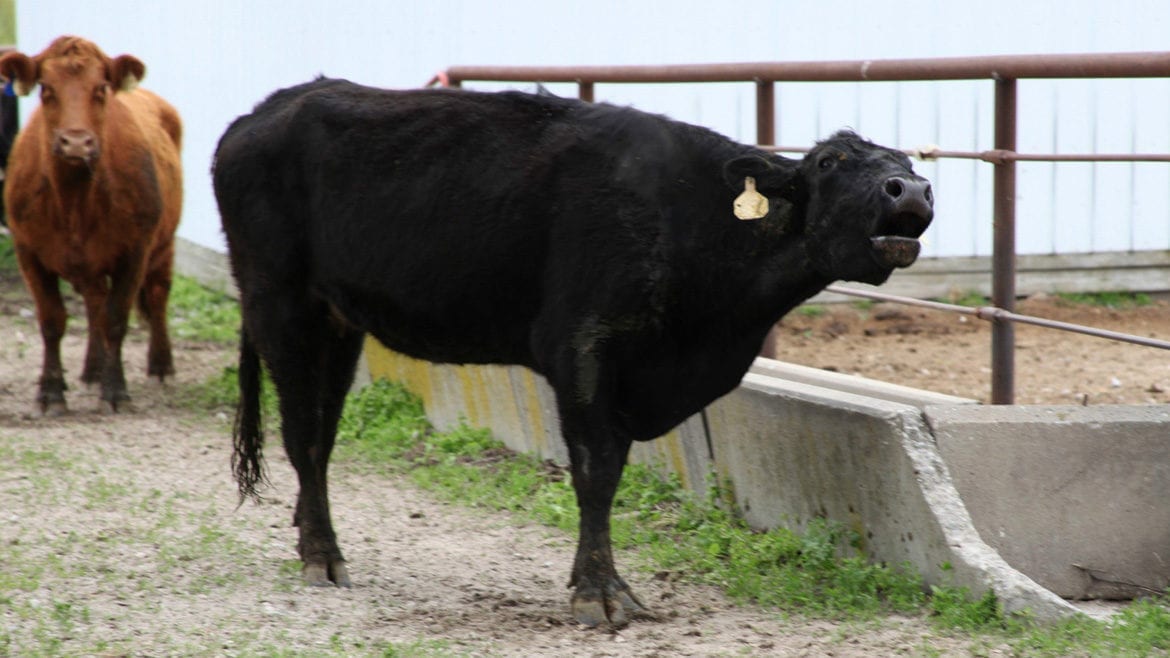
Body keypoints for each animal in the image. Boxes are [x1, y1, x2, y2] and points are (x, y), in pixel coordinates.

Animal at [0, 36, 183, 415]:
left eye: (101, 88)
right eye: (46, 88)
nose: (76, 142)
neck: (74, 203)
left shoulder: (135, 252)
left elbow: (115, 319)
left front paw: (115, 390)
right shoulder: (28, 252)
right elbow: (52, 320)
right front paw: (51, 391)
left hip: (164, 245)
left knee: (157, 294)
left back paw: (160, 365)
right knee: (94, 302)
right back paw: (92, 369)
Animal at [214, 78, 933, 628]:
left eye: (908, 165)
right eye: (829, 163)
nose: (911, 190)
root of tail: (268, 109)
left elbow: (608, 474)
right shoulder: (583, 348)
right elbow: (597, 472)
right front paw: (600, 594)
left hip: (339, 322)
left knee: (323, 432)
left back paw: (313, 538)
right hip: (280, 302)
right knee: (303, 432)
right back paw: (322, 555)